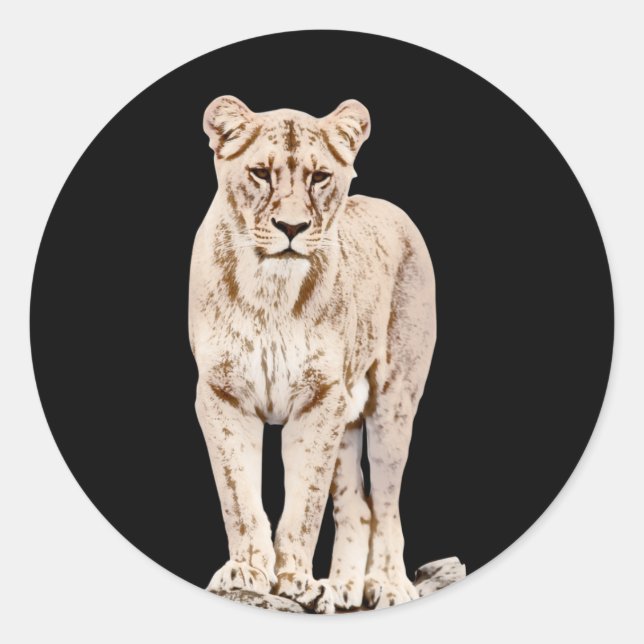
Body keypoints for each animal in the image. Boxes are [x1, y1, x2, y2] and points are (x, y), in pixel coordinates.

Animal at [188, 96, 436, 613]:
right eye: (260, 173)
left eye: (320, 177)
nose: (291, 227)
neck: (270, 288)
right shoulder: (223, 394)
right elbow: (239, 495)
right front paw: (247, 571)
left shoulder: (320, 399)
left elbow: (304, 502)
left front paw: (293, 579)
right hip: (346, 420)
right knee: (358, 507)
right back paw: (341, 588)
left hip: (392, 403)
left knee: (386, 501)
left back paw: (388, 585)